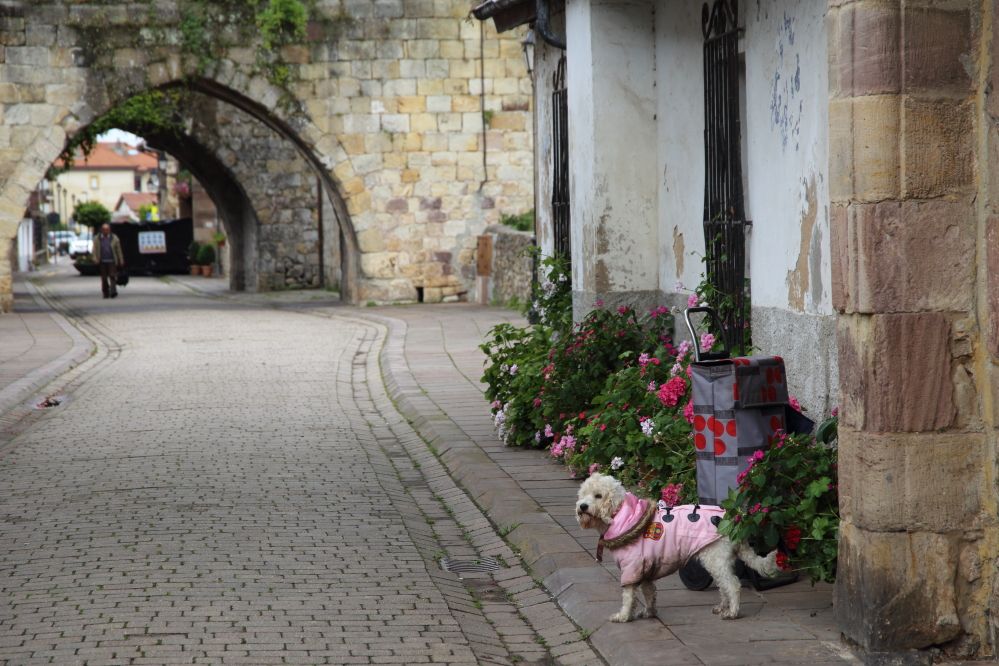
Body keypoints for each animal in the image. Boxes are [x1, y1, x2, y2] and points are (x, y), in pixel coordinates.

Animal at [580, 470, 780, 620]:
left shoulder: (632, 568)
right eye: (583, 495)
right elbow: (649, 593)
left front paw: (623, 616)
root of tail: (734, 520)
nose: (582, 506)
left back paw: (732, 612)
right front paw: (649, 612)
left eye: (598, 496)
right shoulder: (645, 570)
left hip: (716, 560)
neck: (625, 514)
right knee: (724, 586)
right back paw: (723, 607)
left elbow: (628, 596)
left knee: (732, 585)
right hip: (718, 561)